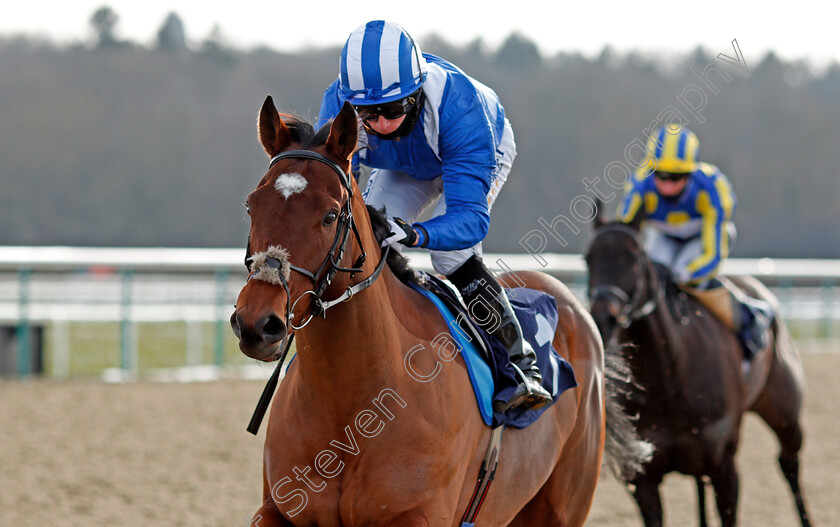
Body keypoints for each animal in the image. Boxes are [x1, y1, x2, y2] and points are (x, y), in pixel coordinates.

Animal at [228, 97, 644, 524]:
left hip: (562, 504)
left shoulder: (419, 514)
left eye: (329, 216)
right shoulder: (277, 508)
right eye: (251, 207)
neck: (352, 405)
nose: (257, 323)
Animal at [580, 211, 812, 527]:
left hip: (785, 413)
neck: (668, 377)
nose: (603, 318)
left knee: (789, 464)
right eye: (588, 258)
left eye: (635, 258)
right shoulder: (643, 477)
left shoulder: (725, 467)